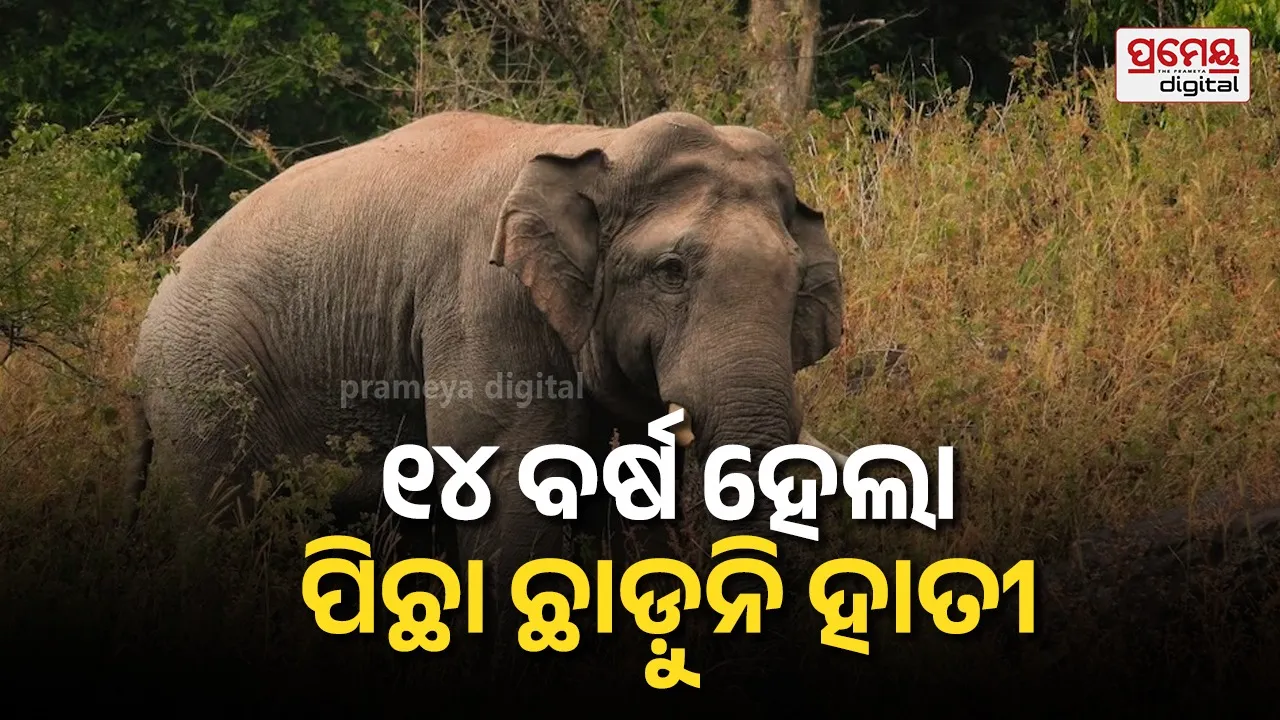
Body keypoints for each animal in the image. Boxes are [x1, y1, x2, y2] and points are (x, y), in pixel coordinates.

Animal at [127, 109, 849, 585]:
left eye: (796, 282)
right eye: (671, 271)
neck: (601, 146)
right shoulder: (483, 301)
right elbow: (511, 483)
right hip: (201, 381)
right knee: (224, 520)